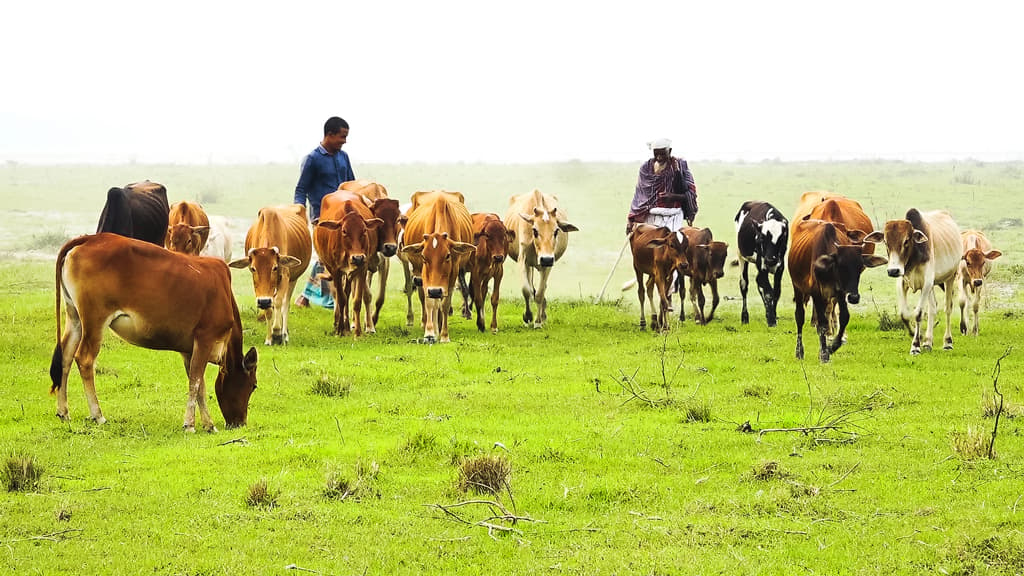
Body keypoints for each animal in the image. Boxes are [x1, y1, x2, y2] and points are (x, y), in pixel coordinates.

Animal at [51, 230, 260, 428]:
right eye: (253, 386)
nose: (240, 422)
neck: (224, 294)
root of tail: (89, 239)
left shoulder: (189, 349)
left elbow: (199, 384)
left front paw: (207, 424)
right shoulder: (205, 338)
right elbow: (195, 381)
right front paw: (191, 424)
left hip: (75, 317)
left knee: (66, 357)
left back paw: (63, 411)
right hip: (95, 320)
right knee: (85, 359)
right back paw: (98, 415)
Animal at [313, 190, 382, 334]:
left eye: (364, 230)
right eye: (344, 231)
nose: (357, 258)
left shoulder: (362, 268)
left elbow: (356, 301)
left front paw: (358, 332)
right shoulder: (336, 271)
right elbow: (341, 299)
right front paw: (339, 331)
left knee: (348, 291)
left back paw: (347, 326)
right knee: (342, 296)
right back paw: (342, 326)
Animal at [401, 189, 477, 340]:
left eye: (448, 255)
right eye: (423, 256)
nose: (435, 290)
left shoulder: (453, 272)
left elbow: (445, 304)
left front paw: (444, 335)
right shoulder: (425, 275)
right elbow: (430, 302)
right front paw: (430, 332)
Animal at [790, 217, 888, 360]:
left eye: (860, 267)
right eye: (841, 266)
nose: (854, 297)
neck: (828, 270)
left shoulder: (840, 293)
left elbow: (844, 317)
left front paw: (833, 346)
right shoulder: (816, 293)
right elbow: (822, 323)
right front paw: (824, 353)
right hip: (797, 288)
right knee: (800, 317)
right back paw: (799, 351)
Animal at [864, 208, 958, 352]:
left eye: (906, 241)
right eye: (885, 242)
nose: (893, 271)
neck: (914, 257)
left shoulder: (926, 283)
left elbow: (918, 314)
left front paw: (915, 346)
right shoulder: (902, 283)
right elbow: (904, 314)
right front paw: (916, 334)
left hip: (950, 278)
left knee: (948, 308)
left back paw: (947, 342)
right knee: (933, 308)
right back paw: (928, 342)